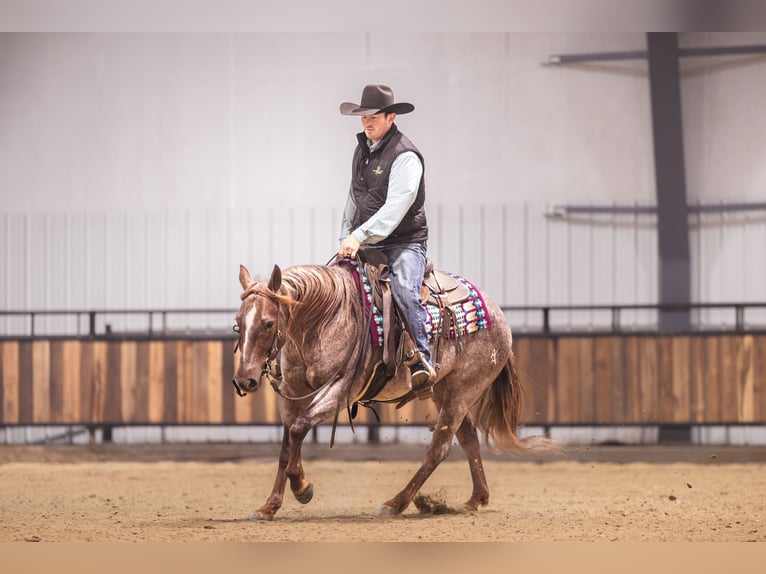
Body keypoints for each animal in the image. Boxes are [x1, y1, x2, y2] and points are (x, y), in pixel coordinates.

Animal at [232, 259, 560, 520]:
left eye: (268, 323)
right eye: (238, 322)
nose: (244, 380)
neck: (324, 318)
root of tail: (498, 315)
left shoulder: (342, 390)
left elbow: (300, 428)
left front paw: (302, 487)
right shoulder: (292, 393)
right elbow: (287, 446)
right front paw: (269, 506)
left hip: (465, 389)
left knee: (438, 449)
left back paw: (395, 503)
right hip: (444, 390)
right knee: (468, 440)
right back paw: (476, 499)